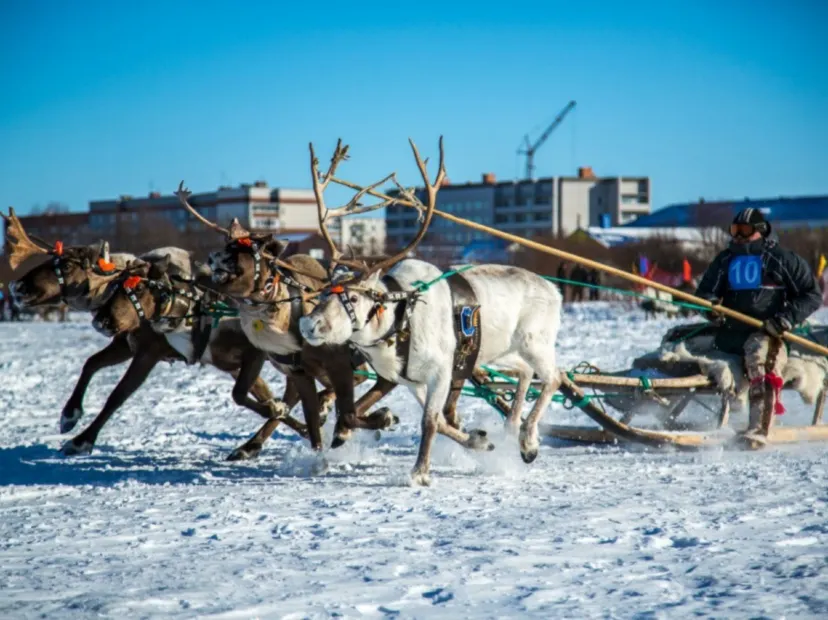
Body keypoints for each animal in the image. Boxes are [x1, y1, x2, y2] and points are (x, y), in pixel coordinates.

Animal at [2, 209, 312, 458]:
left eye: (66, 265)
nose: (17, 287)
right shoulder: (129, 343)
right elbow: (91, 363)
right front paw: (69, 415)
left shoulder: (148, 352)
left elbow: (118, 394)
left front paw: (82, 440)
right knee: (294, 391)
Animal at [174, 181, 400, 455]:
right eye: (229, 246)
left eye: (250, 250)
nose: (212, 258)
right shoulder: (288, 367)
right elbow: (304, 421)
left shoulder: (335, 362)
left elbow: (345, 406)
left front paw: (371, 420)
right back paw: (252, 444)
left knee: (368, 382)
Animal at [298, 137, 564, 486]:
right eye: (324, 292)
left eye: (354, 299)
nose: (308, 324)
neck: (399, 318)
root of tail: (554, 290)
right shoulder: (412, 380)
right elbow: (435, 421)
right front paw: (478, 440)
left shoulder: (440, 371)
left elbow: (429, 421)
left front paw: (420, 472)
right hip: (497, 351)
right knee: (524, 371)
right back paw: (511, 427)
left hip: (534, 341)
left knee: (554, 377)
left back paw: (529, 441)